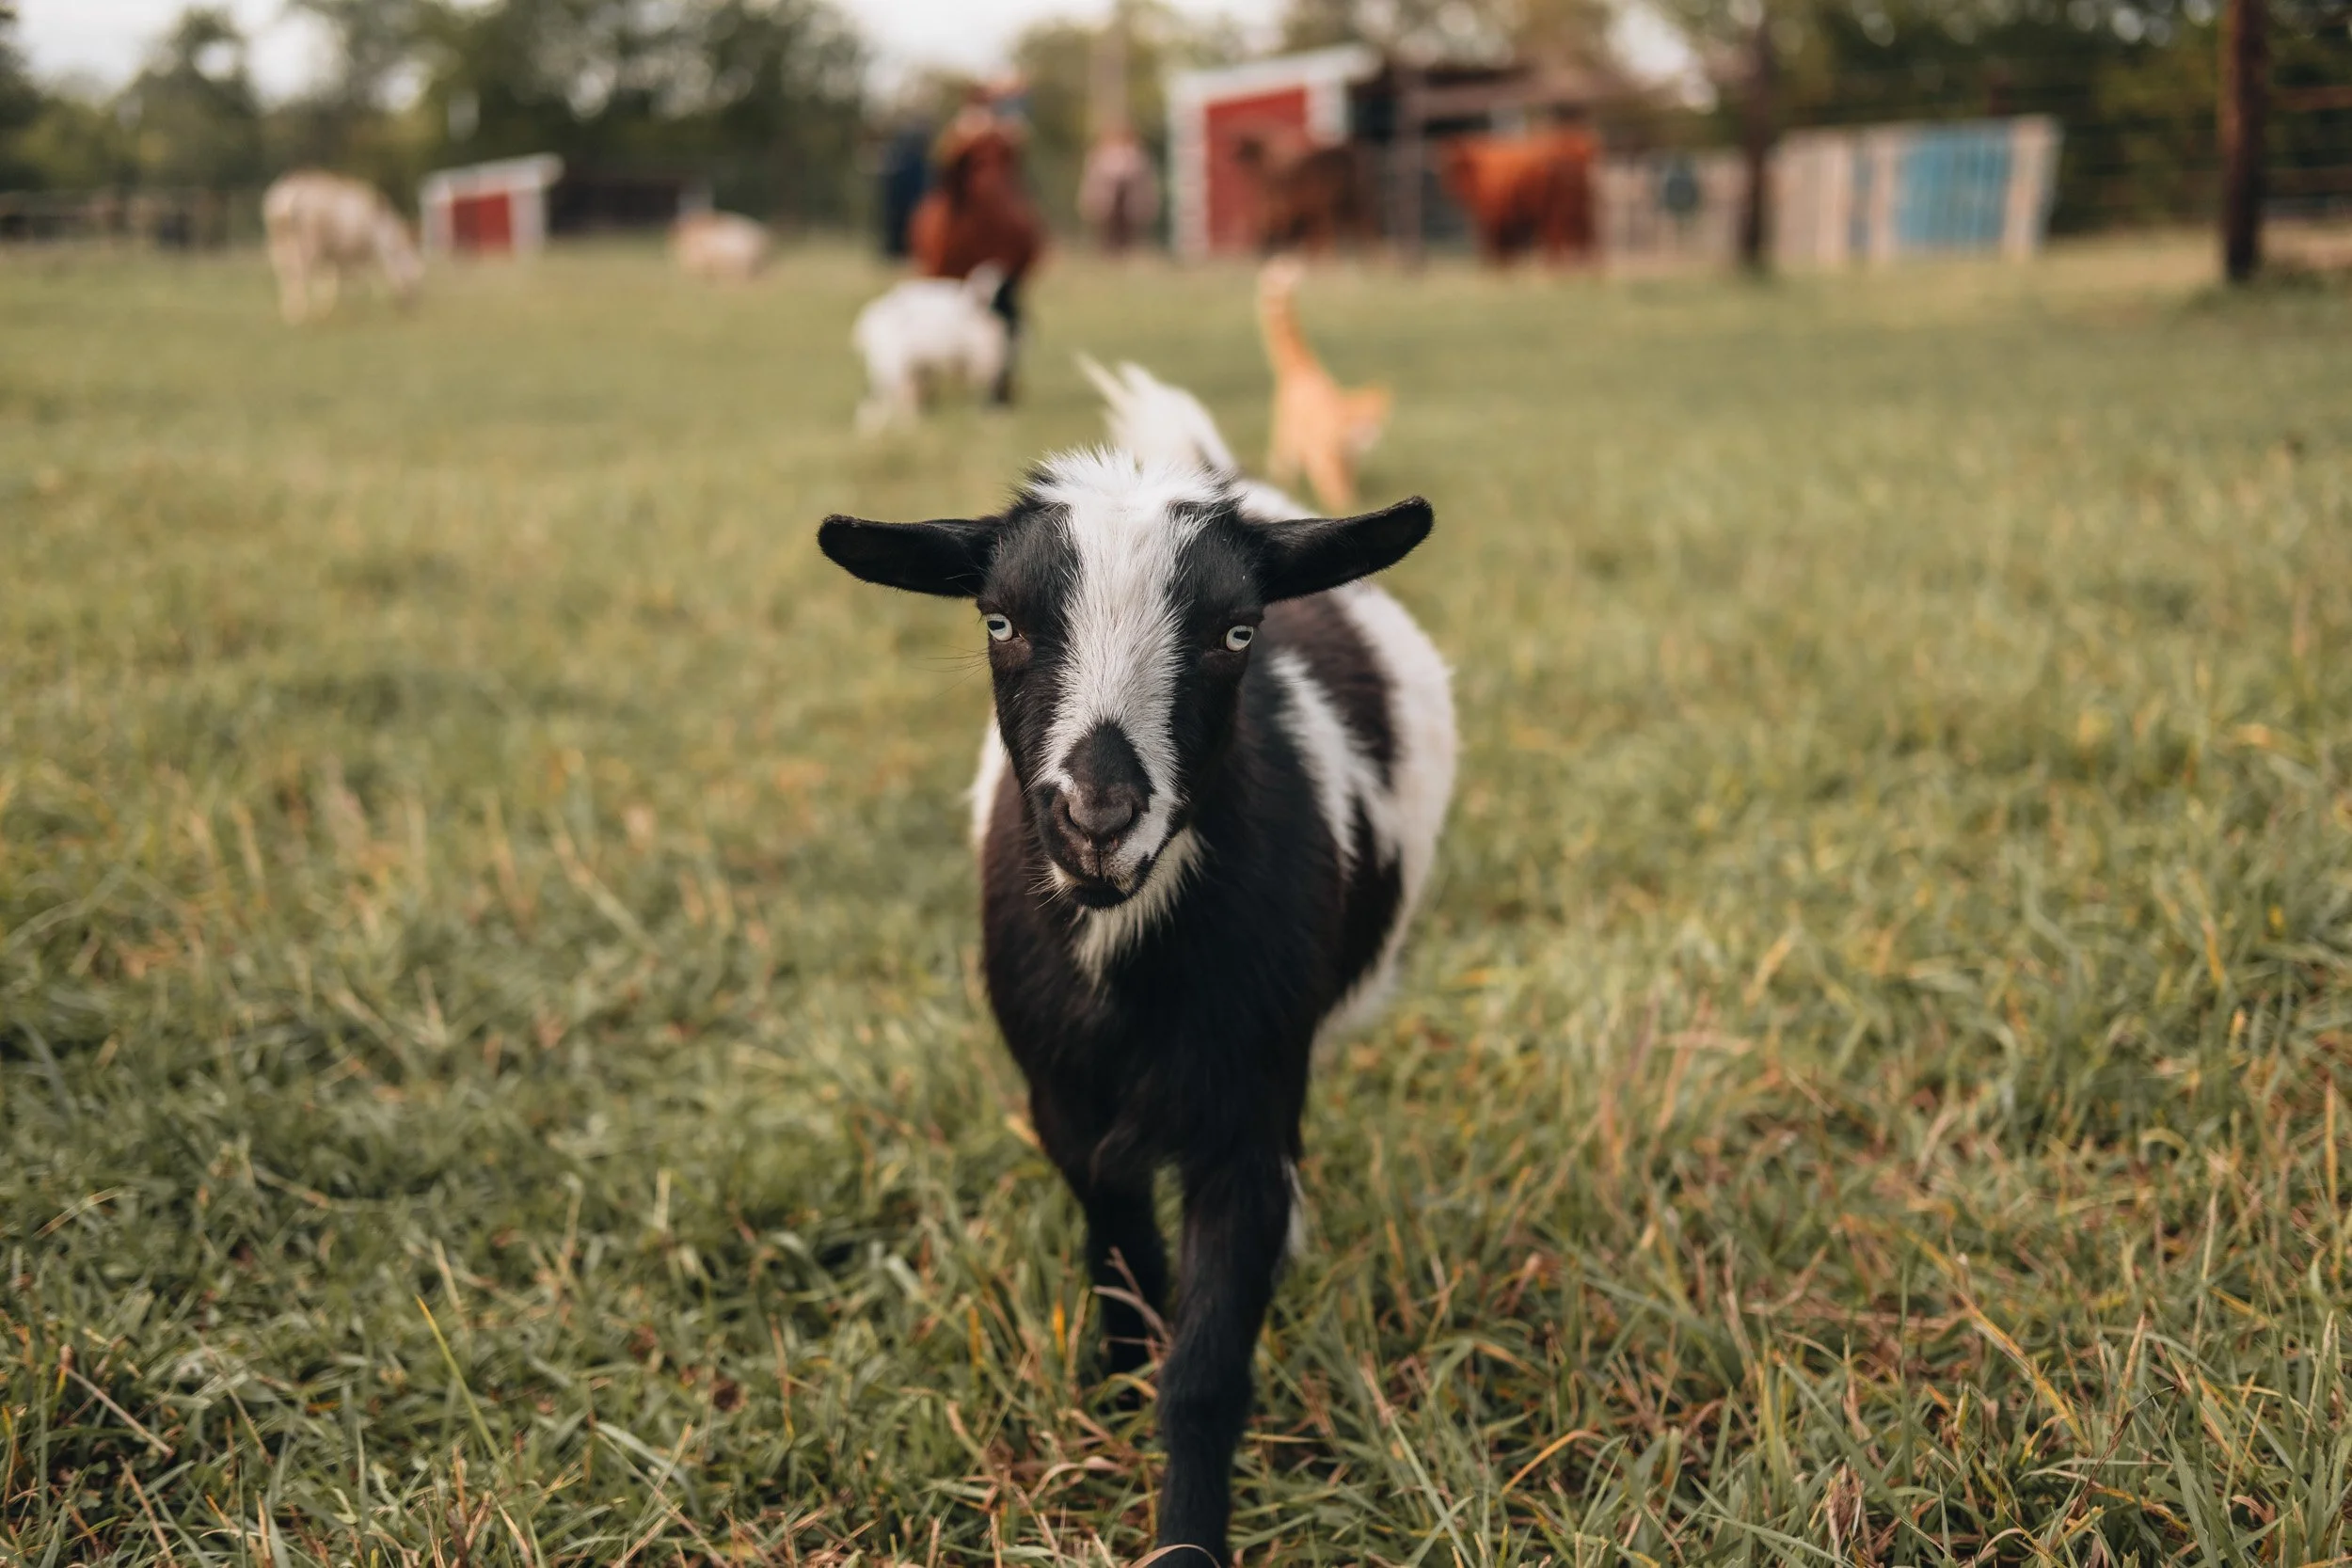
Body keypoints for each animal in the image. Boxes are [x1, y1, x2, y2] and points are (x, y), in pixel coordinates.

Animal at [816, 378, 1454, 1563]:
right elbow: (1120, 1251)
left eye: (1237, 629)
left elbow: (1205, 1373)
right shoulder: (1061, 1097)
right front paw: (1116, 1382)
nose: (1097, 817)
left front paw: (1186, 1538)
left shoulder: (1247, 1111)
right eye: (1000, 620)